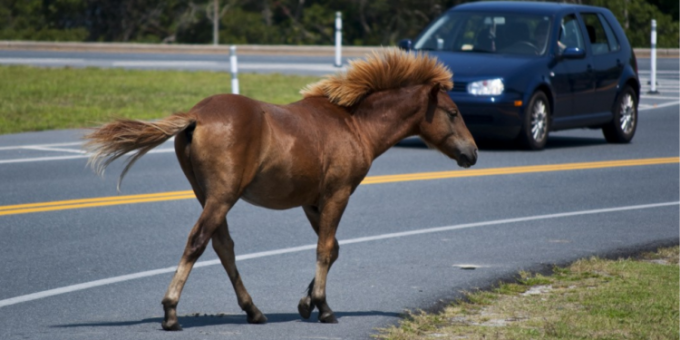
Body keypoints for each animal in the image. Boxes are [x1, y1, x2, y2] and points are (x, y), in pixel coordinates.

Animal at [83, 49, 478, 330]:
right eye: (453, 112)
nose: (472, 153)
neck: (353, 125)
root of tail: (196, 116)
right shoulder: (338, 194)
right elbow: (325, 250)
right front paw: (324, 308)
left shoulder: (312, 202)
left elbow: (333, 249)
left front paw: (306, 303)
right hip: (222, 197)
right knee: (198, 242)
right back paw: (171, 312)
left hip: (207, 195)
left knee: (223, 246)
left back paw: (254, 311)